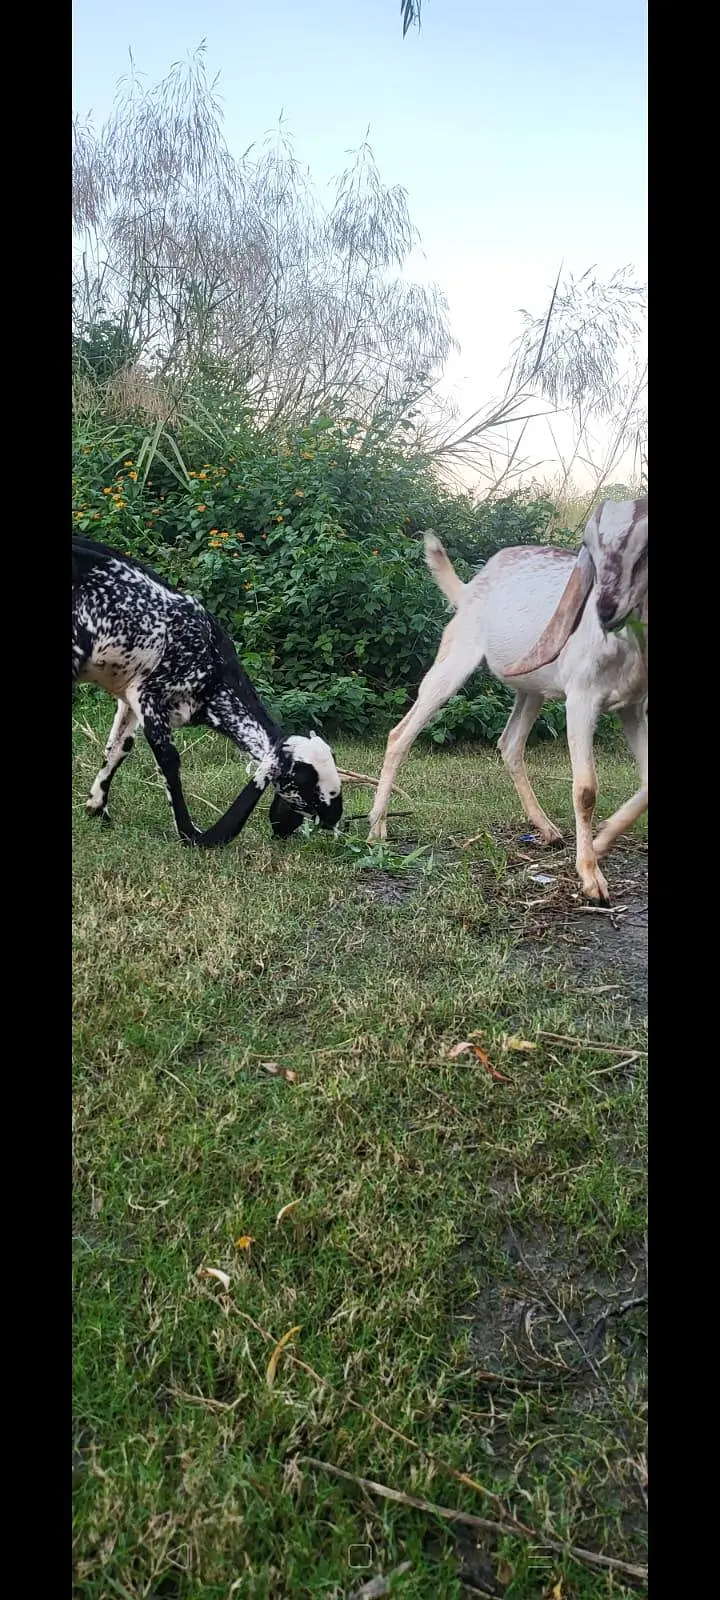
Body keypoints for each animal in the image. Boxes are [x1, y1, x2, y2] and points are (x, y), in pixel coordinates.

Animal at [72, 537, 343, 846]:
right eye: (309, 784)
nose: (337, 818)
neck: (214, 666)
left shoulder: (128, 698)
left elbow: (119, 748)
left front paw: (97, 807)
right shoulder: (149, 696)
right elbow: (169, 761)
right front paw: (189, 833)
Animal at [367, 499, 648, 903]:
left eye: (642, 552)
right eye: (591, 550)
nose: (604, 610)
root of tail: (469, 588)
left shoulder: (632, 705)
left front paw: (603, 839)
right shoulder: (581, 697)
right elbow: (585, 789)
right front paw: (591, 877)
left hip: (530, 687)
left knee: (510, 742)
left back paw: (547, 830)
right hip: (454, 660)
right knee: (400, 734)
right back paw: (377, 828)